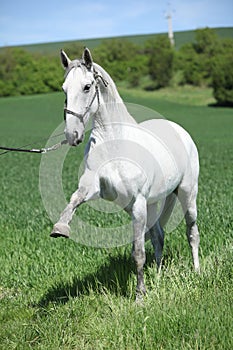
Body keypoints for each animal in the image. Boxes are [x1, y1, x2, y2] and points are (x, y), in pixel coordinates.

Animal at [51, 47, 200, 296]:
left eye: (87, 86)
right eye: (64, 89)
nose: (72, 135)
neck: (114, 144)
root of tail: (180, 130)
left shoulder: (137, 203)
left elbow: (138, 252)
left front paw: (140, 295)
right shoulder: (94, 189)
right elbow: (74, 199)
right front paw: (60, 228)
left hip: (187, 193)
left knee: (192, 232)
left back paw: (197, 272)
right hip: (152, 203)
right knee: (158, 236)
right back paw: (158, 277)